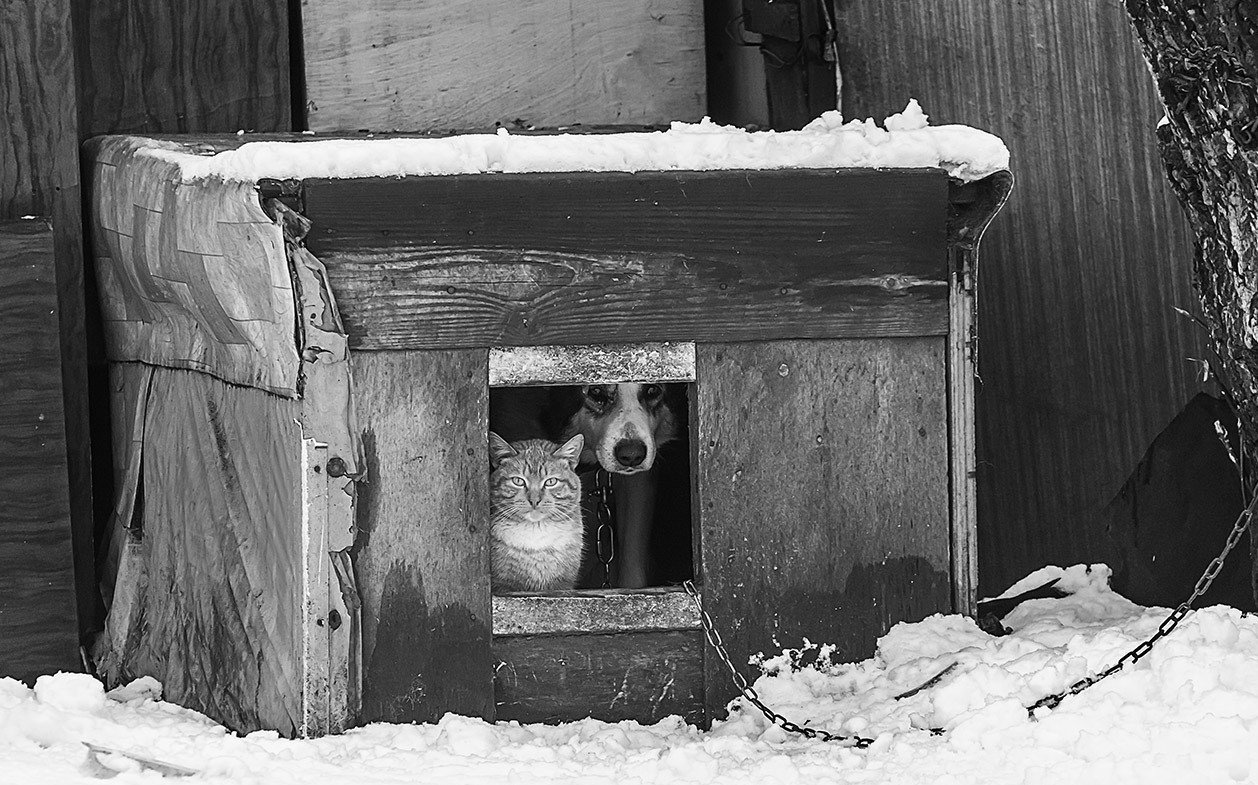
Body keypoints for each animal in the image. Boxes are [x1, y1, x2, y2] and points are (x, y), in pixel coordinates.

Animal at [490, 432, 588, 591]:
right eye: (518, 481)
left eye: (551, 482)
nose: (534, 500)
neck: (536, 532)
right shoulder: (503, 586)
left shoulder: (563, 584)